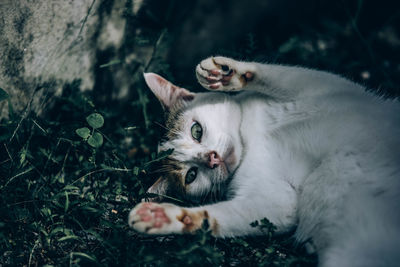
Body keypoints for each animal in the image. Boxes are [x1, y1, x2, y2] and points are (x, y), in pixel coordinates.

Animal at [129, 56, 400, 266]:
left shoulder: (327, 89)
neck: (251, 140)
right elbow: (226, 215)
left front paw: (226, 74)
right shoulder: (277, 200)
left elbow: (284, 75)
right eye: (191, 175)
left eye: (196, 131)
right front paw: (167, 217)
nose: (212, 159)